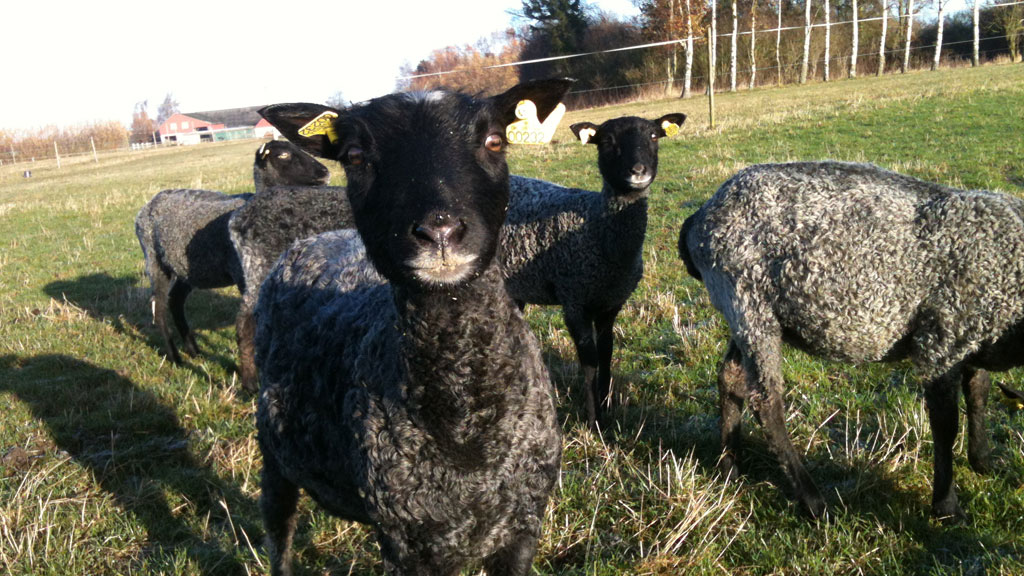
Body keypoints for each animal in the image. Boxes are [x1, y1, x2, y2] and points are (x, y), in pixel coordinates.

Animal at [134, 140, 329, 364]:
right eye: (283, 155)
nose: (324, 172)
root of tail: (150, 202)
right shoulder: (245, 276)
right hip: (155, 261)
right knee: (159, 308)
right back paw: (175, 357)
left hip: (187, 268)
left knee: (175, 300)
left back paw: (194, 350)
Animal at [253, 77, 573, 576]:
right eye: (355, 157)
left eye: (494, 141)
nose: (439, 232)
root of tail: (313, 240)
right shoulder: (410, 540)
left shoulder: (523, 523)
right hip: (273, 457)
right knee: (278, 530)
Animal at [500, 113, 686, 430]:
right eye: (607, 141)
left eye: (653, 136)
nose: (638, 171)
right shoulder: (575, 302)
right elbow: (589, 362)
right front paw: (593, 420)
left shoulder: (610, 305)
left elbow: (607, 354)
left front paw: (607, 406)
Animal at [679, 160, 1024, 519]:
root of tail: (701, 217)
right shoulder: (940, 340)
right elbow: (945, 424)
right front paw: (947, 506)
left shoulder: (971, 335)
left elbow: (979, 391)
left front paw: (983, 461)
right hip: (749, 302)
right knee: (766, 401)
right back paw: (813, 500)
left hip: (744, 315)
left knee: (730, 379)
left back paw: (729, 467)